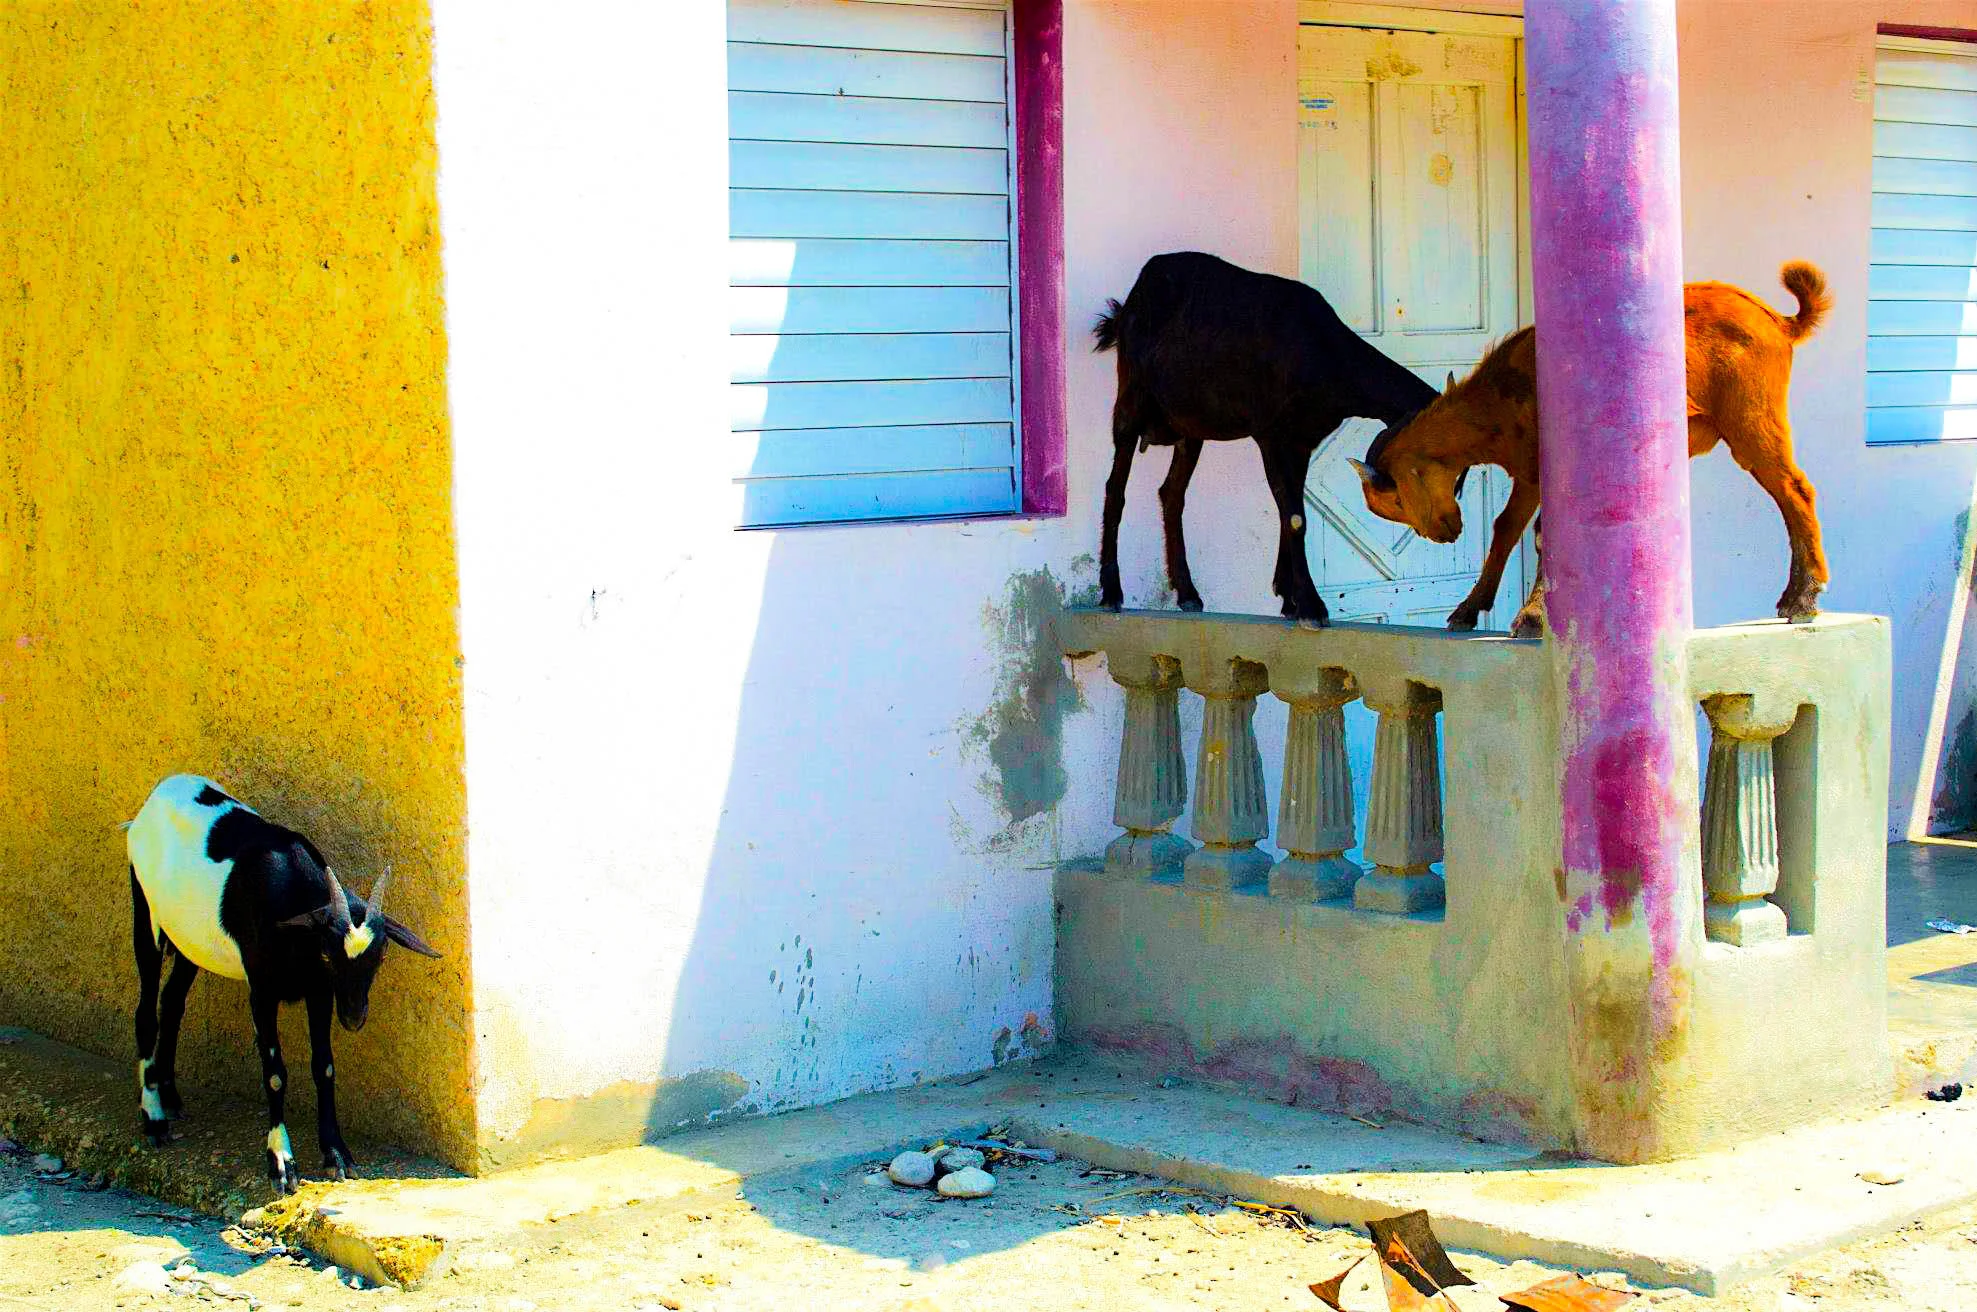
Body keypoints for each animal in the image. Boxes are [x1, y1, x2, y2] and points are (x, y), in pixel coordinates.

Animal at [125, 774, 439, 1195]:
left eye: (381, 956)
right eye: (327, 954)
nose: (354, 1017)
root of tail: (158, 794)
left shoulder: (320, 992)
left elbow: (324, 1066)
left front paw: (336, 1153)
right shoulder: (262, 991)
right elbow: (274, 1073)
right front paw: (280, 1162)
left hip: (188, 939)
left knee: (172, 1001)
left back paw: (171, 1095)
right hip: (145, 913)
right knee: (146, 1012)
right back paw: (154, 1117)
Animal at [1093, 251, 1439, 625]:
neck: (1323, 352)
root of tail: (1130, 304)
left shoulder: (1302, 441)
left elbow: (1290, 509)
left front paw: (1289, 599)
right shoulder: (1272, 435)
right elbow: (1295, 516)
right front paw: (1310, 607)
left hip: (1190, 428)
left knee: (1171, 494)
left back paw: (1187, 593)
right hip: (1131, 402)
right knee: (1115, 488)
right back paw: (1111, 592)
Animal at [1352, 262, 1831, 637]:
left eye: (1396, 497)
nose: (1442, 534)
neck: (1501, 397)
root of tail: (1778, 320)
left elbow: (1542, 533)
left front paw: (1532, 618)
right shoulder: (1528, 473)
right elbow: (1506, 528)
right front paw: (1469, 610)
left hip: (1752, 416)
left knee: (1794, 489)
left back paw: (1802, 599)